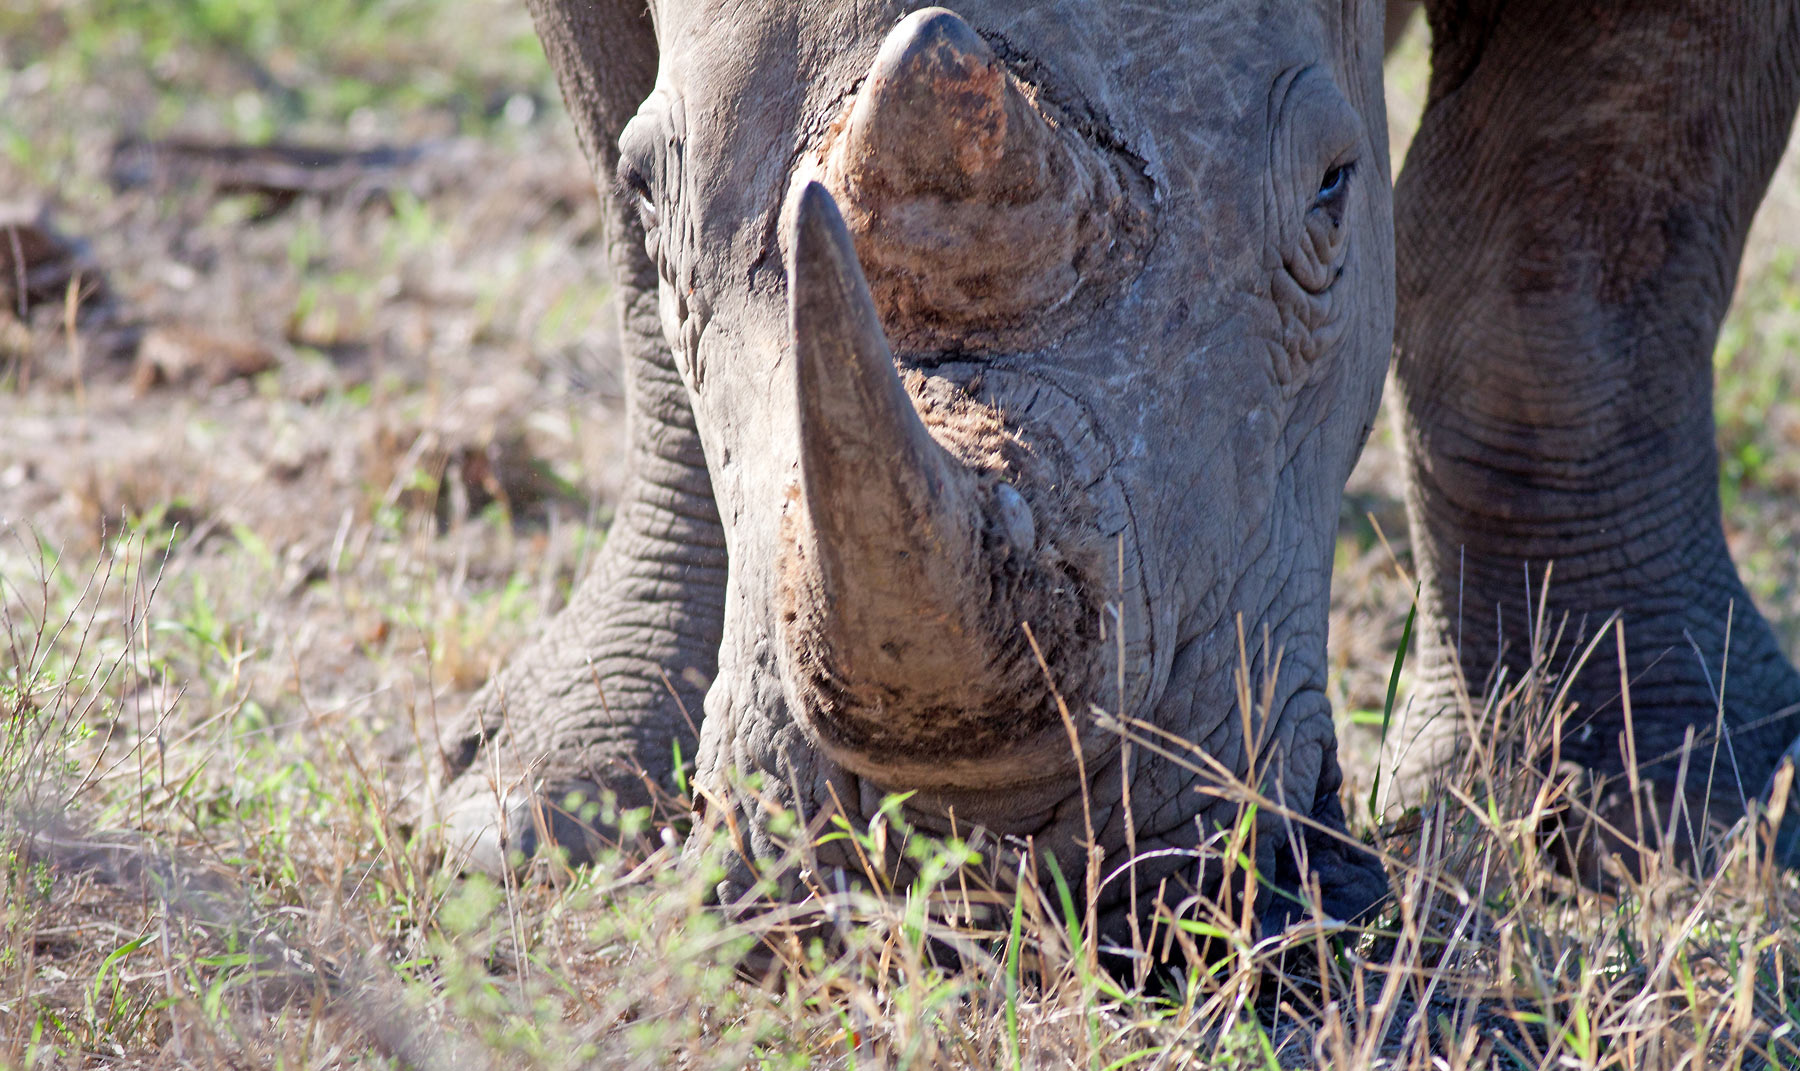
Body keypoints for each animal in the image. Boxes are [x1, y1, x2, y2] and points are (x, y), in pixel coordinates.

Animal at [433, 0, 1800, 933]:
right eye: (652, 190)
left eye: (1331, 193)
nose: (984, 863)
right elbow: (633, 275)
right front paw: (539, 808)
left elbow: (1572, 256)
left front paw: (1668, 830)